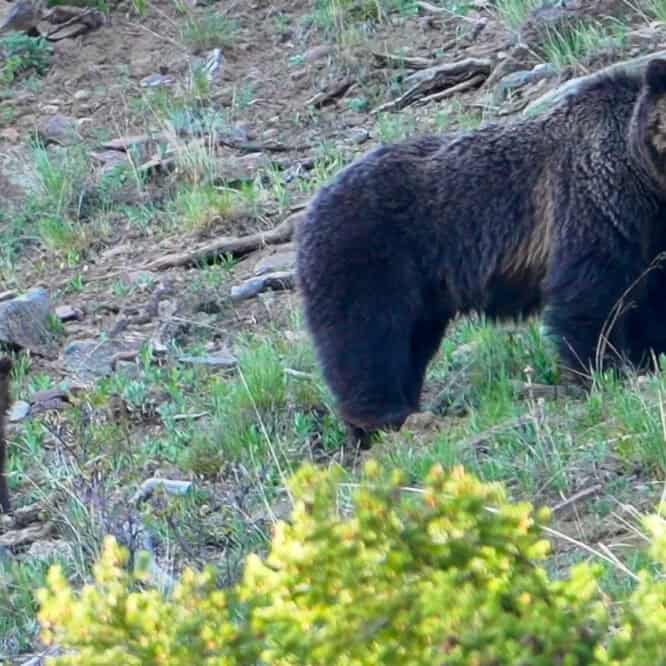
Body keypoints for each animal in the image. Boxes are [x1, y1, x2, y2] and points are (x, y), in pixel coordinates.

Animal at [296, 57, 666, 446]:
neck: (645, 176)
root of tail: (310, 208)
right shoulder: (593, 204)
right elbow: (591, 295)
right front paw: (604, 370)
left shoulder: (652, 232)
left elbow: (651, 297)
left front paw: (650, 355)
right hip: (367, 254)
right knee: (366, 338)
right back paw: (384, 417)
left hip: (421, 293)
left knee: (409, 345)